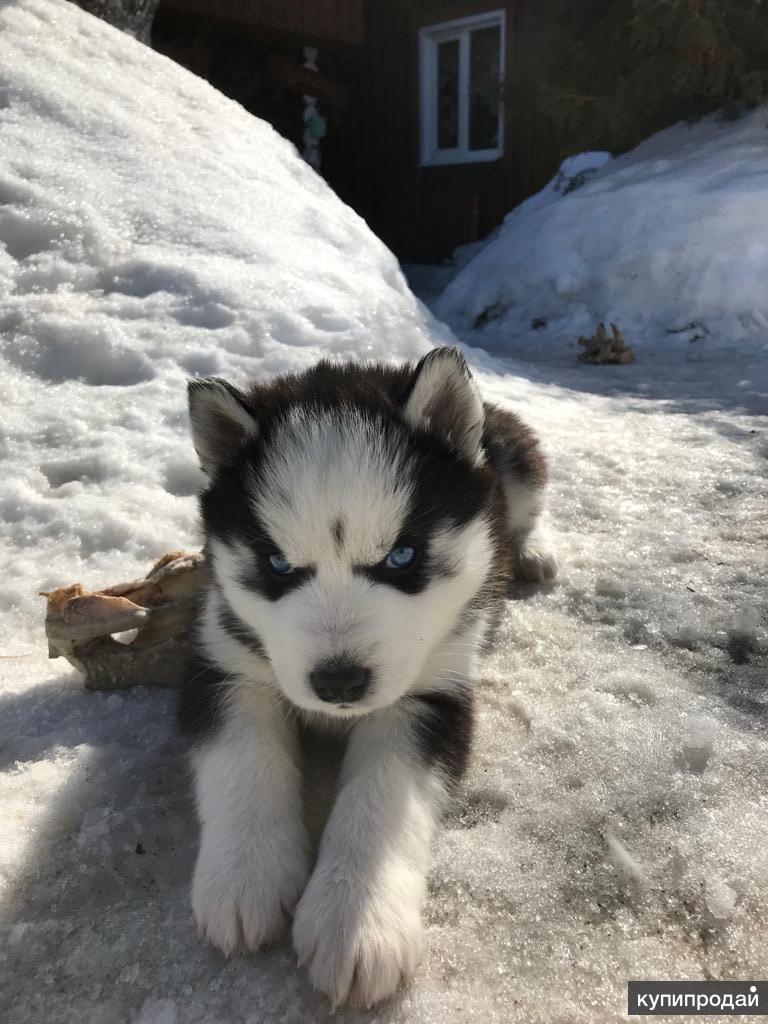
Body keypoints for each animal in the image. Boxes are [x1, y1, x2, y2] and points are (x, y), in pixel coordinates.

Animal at [178, 348, 557, 1003]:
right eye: (277, 564)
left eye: (402, 558)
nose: (339, 684)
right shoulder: (222, 662)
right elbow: (244, 763)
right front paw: (245, 875)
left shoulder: (432, 692)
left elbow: (381, 798)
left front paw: (355, 921)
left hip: (517, 455)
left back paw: (531, 552)